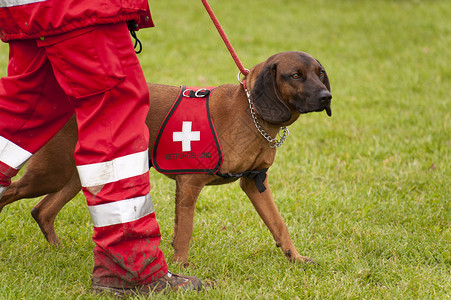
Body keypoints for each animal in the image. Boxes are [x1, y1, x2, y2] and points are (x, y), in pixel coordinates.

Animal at [0, 51, 332, 264]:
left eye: (320, 74)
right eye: (295, 75)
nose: (327, 97)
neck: (250, 112)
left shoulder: (255, 183)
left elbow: (279, 224)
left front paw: (295, 257)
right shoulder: (189, 184)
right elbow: (184, 232)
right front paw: (181, 267)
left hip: (80, 174)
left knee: (42, 211)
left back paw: (59, 252)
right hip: (49, 173)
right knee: (10, 193)